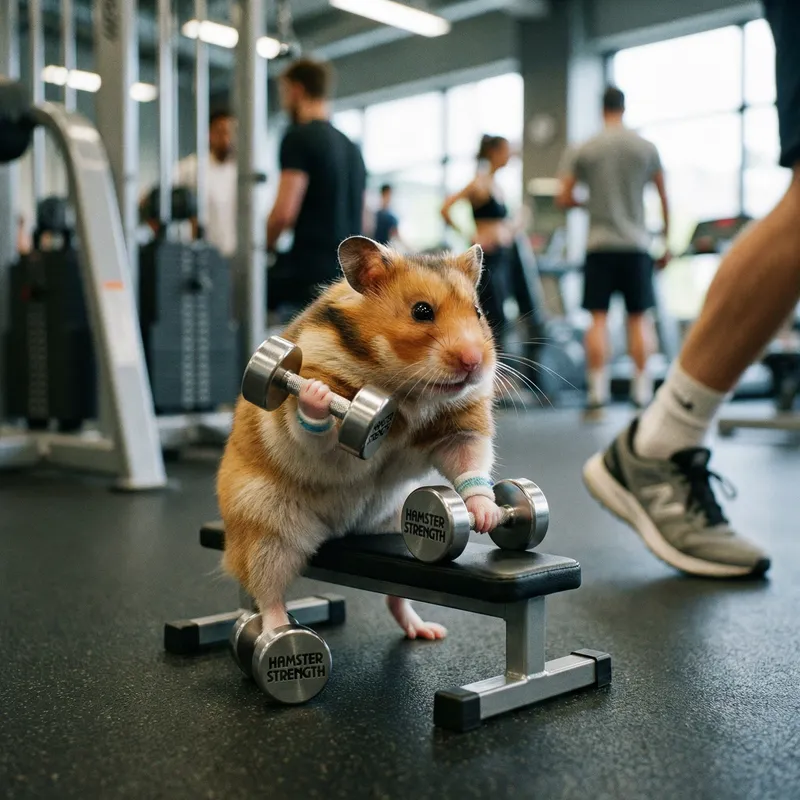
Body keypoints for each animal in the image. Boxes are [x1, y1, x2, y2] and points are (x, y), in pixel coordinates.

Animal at [216, 235, 502, 640]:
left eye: (477, 312)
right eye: (421, 311)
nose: (474, 362)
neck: (408, 390)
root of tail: (342, 530)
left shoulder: (457, 428)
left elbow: (469, 462)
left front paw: (487, 517)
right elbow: (313, 431)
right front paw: (317, 394)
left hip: (395, 522)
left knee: (397, 593)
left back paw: (426, 631)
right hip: (266, 531)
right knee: (267, 591)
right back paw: (277, 634)